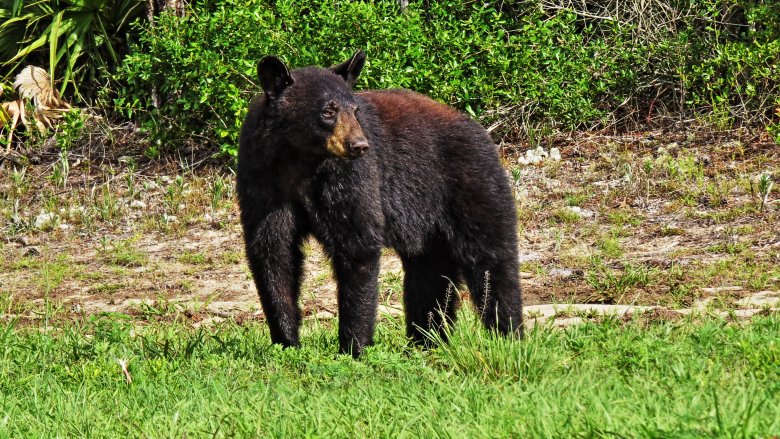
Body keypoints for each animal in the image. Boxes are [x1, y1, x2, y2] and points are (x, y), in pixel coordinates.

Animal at [235, 49, 520, 358]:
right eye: (328, 111)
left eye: (355, 110)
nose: (359, 145)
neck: (300, 160)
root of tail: (480, 131)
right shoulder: (262, 178)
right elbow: (273, 250)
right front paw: (287, 342)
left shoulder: (350, 178)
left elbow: (357, 243)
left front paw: (353, 347)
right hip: (430, 225)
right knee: (429, 273)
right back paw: (426, 340)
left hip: (471, 185)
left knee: (491, 260)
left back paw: (507, 335)